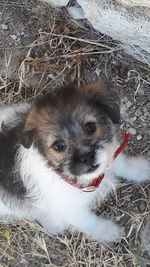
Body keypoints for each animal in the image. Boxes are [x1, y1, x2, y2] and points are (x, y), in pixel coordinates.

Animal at [0, 83, 149, 243]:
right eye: (58, 146)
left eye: (90, 127)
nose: (87, 158)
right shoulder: (72, 210)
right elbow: (90, 222)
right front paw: (109, 232)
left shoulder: (108, 152)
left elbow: (120, 162)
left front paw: (139, 169)